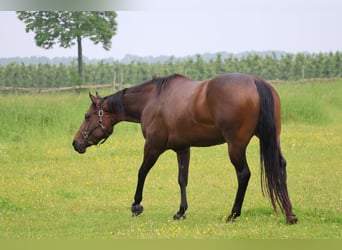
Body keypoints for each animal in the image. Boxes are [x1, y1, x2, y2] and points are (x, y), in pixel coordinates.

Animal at [71, 72, 296, 225]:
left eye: (87, 116)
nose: (75, 143)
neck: (153, 99)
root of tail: (256, 82)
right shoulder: (182, 148)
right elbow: (182, 179)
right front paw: (181, 211)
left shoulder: (153, 147)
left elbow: (142, 172)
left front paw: (136, 205)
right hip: (271, 139)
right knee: (281, 166)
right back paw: (290, 214)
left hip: (236, 146)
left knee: (243, 174)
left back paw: (233, 214)